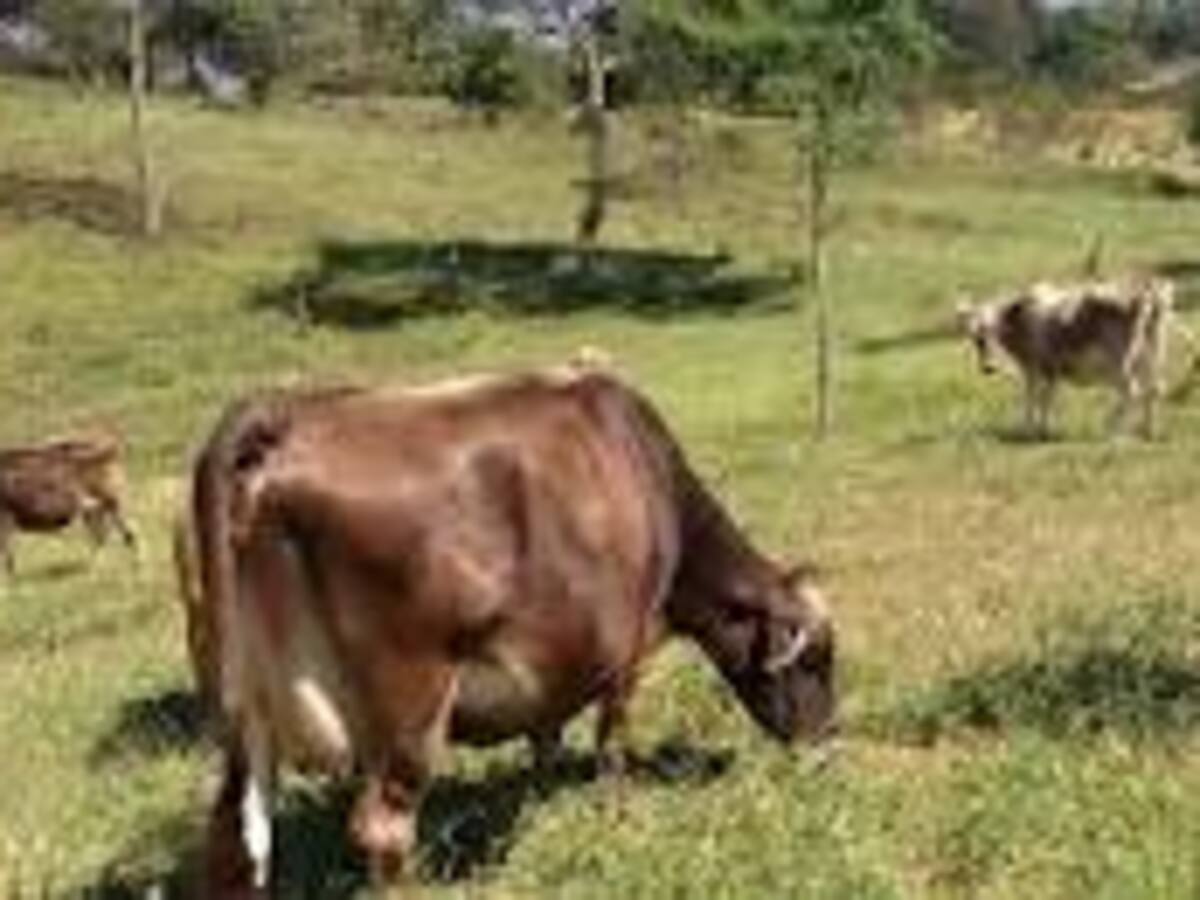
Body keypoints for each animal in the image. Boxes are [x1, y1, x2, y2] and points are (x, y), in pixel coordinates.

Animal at [0, 433, 135, 572]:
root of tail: (110, 449)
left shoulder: (5, 518)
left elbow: (7, 554)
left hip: (112, 503)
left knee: (127, 534)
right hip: (94, 510)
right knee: (102, 536)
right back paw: (92, 567)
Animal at [183, 364, 835, 897]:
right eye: (816, 661)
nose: (827, 743)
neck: (649, 475)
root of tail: (286, 416)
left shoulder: (555, 658)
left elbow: (546, 737)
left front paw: (544, 799)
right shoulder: (627, 653)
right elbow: (612, 744)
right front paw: (618, 817)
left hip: (248, 714)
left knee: (232, 838)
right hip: (411, 703)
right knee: (382, 827)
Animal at [957, 276, 1178, 439]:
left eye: (996, 330)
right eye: (976, 338)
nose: (988, 367)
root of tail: (1146, 291)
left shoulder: (1034, 367)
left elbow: (1034, 396)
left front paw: (1030, 429)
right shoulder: (1049, 370)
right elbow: (1047, 397)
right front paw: (1043, 428)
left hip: (1120, 362)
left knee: (1132, 391)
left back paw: (1111, 431)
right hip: (1152, 357)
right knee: (1154, 389)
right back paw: (1148, 431)